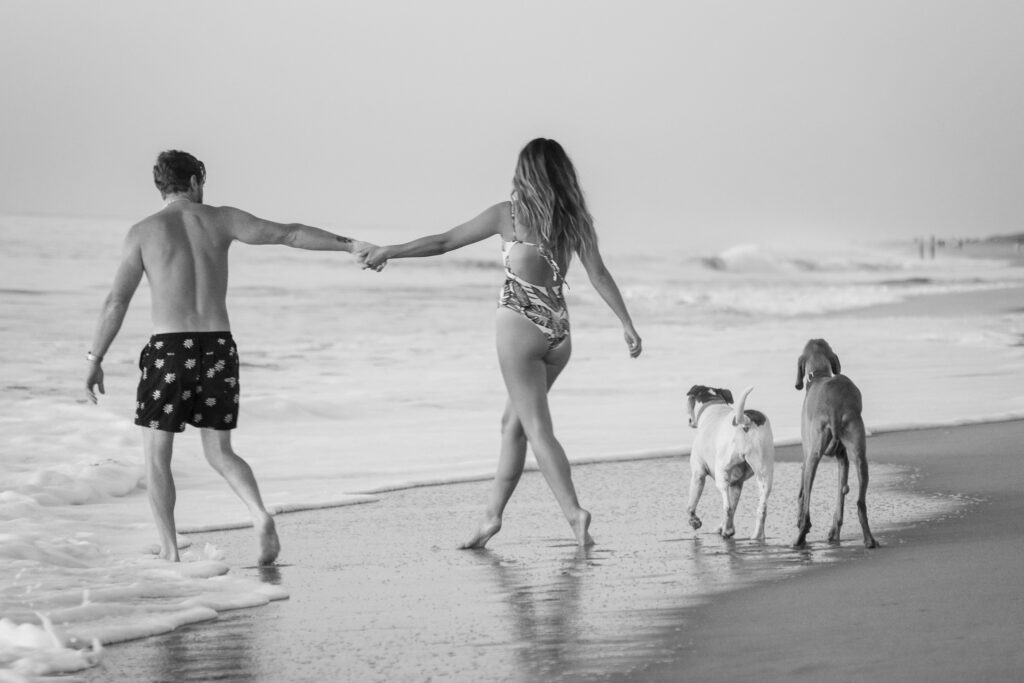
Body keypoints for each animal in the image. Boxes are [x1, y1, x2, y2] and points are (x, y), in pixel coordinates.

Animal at [684, 387, 770, 540]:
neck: (713, 405)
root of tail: (745, 421)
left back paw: (727, 531)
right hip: (764, 473)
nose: (689, 420)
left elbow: (691, 506)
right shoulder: (737, 483)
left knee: (727, 506)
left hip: (721, 474)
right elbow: (734, 506)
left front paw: (694, 522)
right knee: (761, 508)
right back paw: (755, 535)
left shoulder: (698, 474)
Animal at [790, 339, 880, 548]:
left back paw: (799, 538)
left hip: (812, 457)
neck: (819, 375)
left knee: (807, 504)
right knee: (860, 504)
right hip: (860, 455)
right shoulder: (843, 459)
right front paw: (834, 531)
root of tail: (835, 407)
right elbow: (841, 495)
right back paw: (869, 540)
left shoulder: (805, 455)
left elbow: (801, 495)